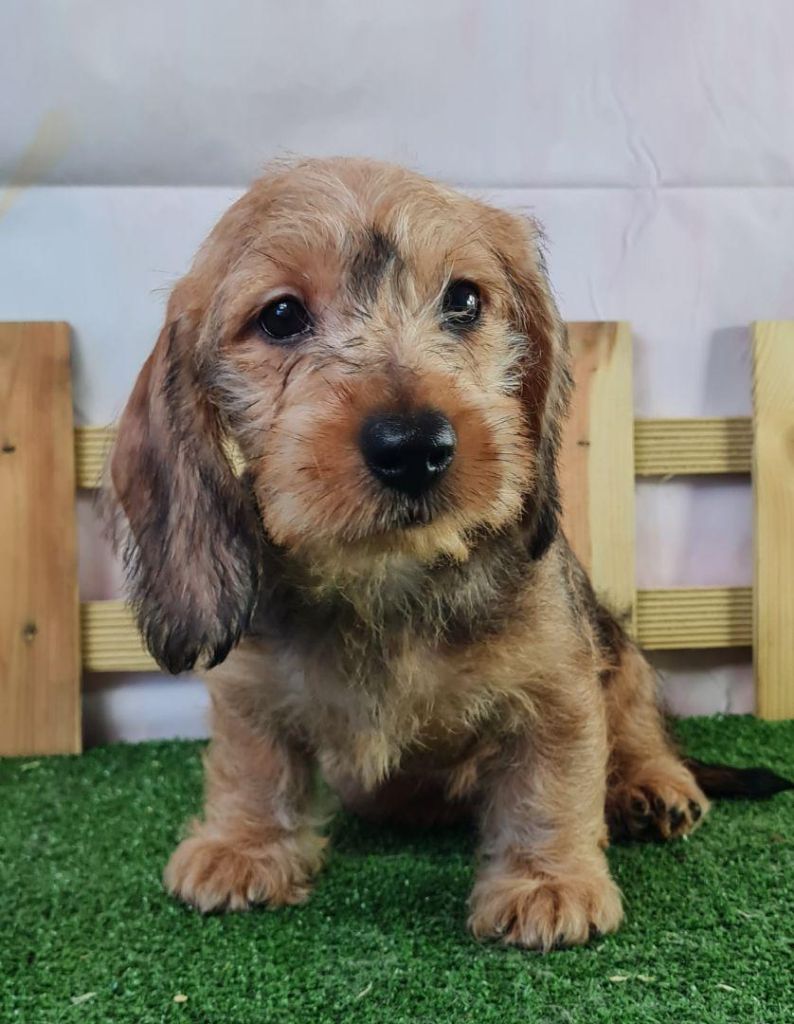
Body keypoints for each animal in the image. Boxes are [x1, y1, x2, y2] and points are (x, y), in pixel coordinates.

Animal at [107, 157, 791, 950]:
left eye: (463, 299)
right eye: (279, 316)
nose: (414, 447)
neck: (388, 580)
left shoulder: (558, 684)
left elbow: (552, 778)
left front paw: (546, 881)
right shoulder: (252, 685)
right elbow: (254, 759)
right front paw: (244, 844)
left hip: (618, 647)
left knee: (639, 724)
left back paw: (652, 784)